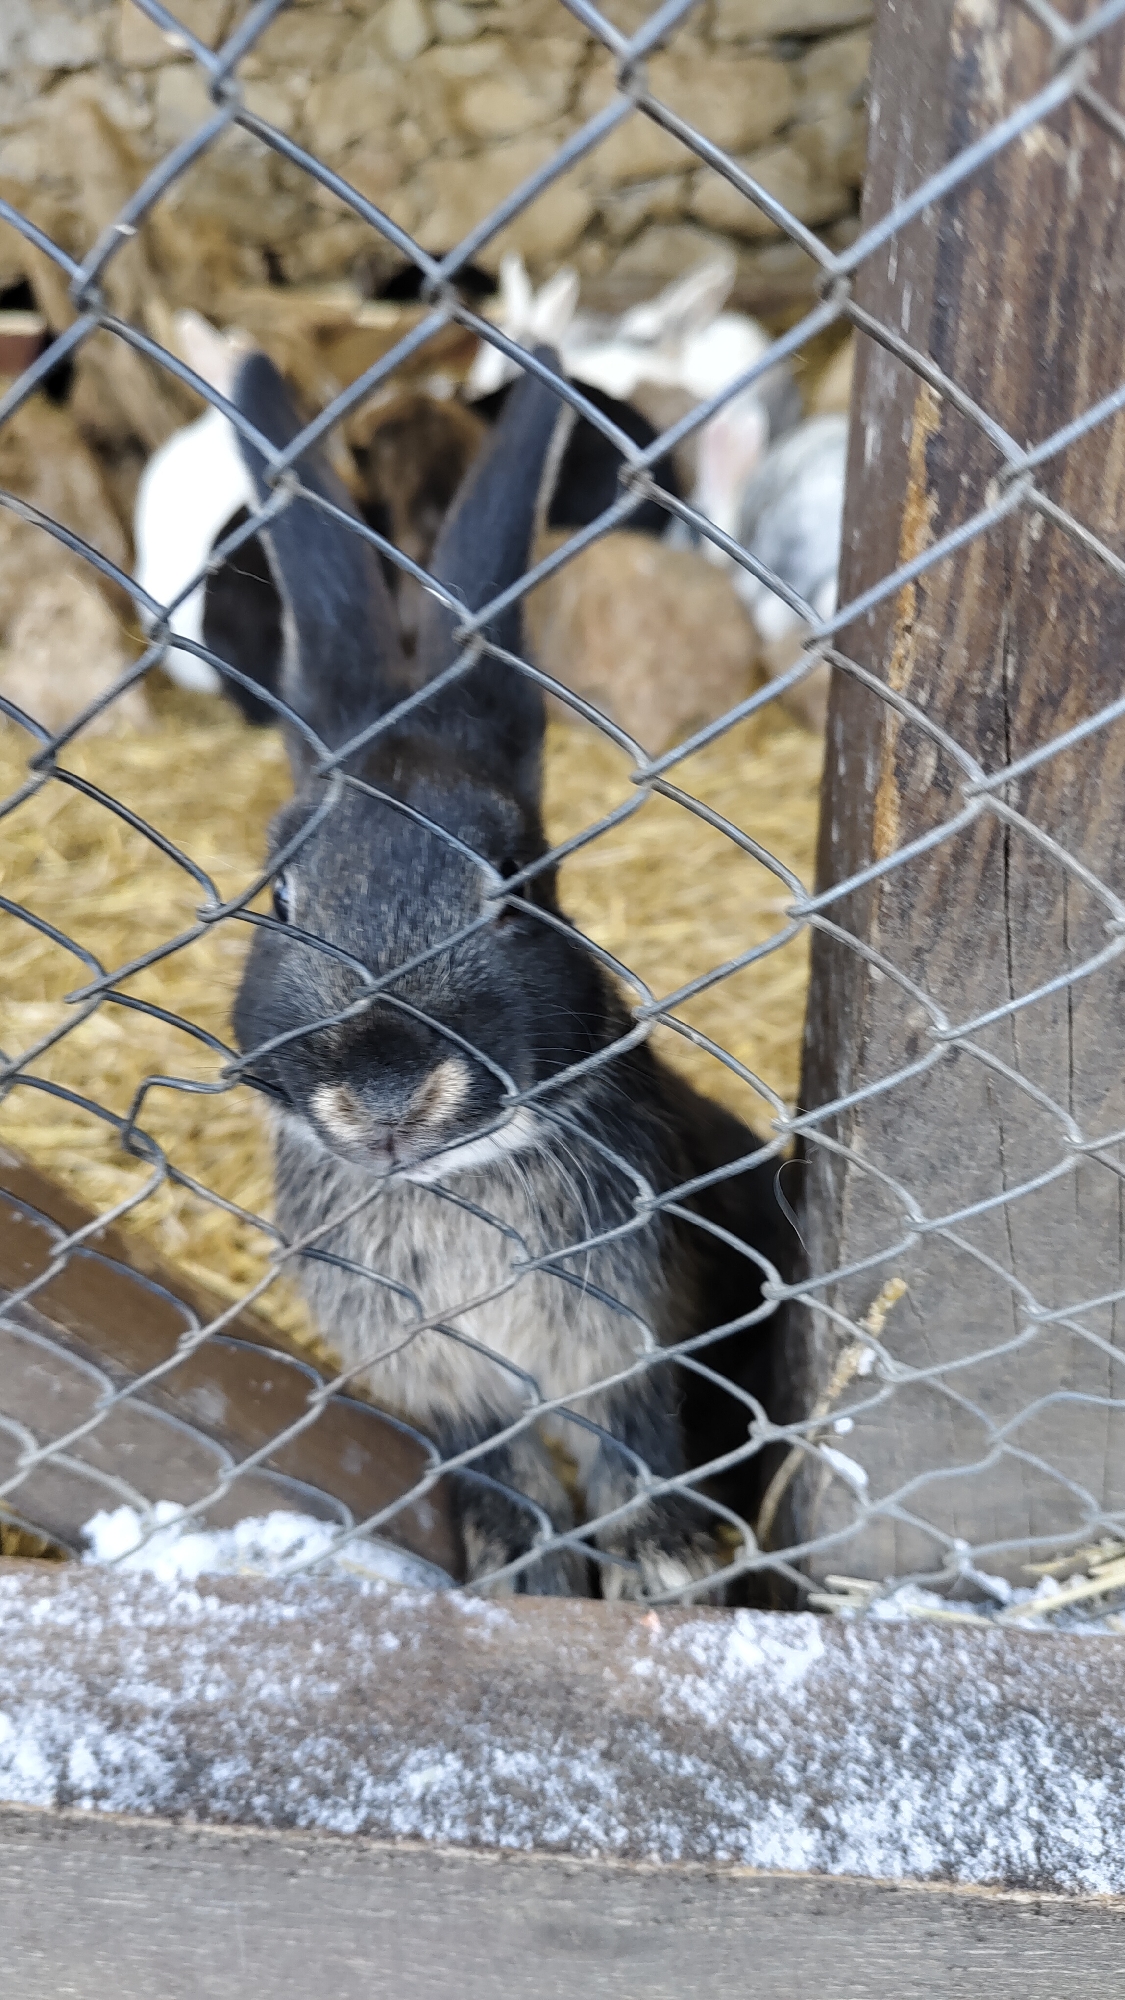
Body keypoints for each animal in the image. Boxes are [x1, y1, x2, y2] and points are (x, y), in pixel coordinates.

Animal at [228, 345, 798, 1601]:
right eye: (279, 897)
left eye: (517, 888)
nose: (386, 1090)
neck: (450, 1183)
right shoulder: (447, 1380)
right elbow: (499, 1457)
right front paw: (526, 1572)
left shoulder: (631, 1333)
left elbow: (634, 1437)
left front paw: (661, 1567)